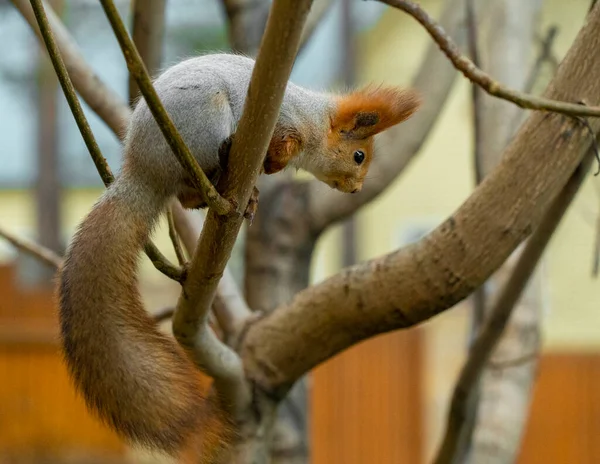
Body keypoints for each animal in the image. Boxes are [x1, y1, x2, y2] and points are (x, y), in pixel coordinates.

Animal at [57, 52, 422, 462]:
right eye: (359, 156)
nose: (356, 189)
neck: (313, 118)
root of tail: (143, 173)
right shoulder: (286, 120)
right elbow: (283, 143)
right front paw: (278, 159)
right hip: (204, 119)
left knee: (186, 197)